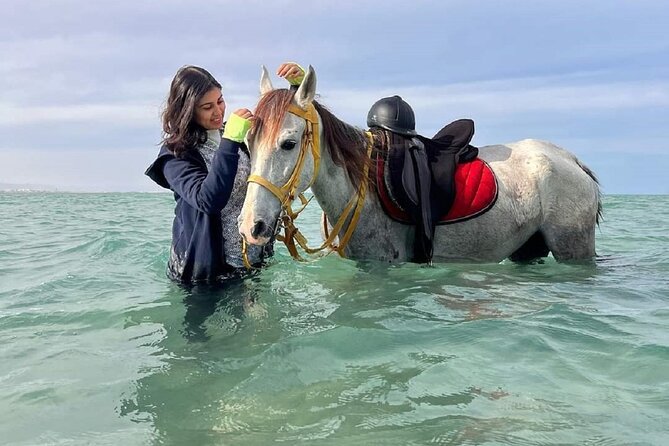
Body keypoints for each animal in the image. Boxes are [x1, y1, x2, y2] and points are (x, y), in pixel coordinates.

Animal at [239, 66, 602, 264]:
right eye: (248, 143)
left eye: (288, 143)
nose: (250, 227)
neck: (366, 189)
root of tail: (571, 159)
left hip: (573, 247)